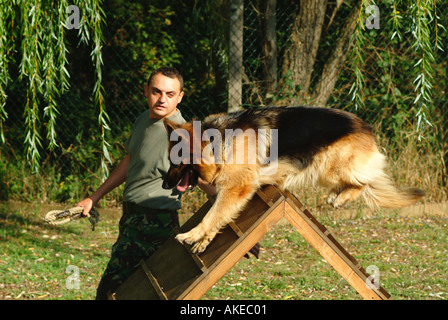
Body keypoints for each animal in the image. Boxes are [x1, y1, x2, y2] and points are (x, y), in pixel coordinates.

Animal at [162, 107, 424, 252]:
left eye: (175, 162)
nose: (164, 184)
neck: (216, 141)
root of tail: (366, 127)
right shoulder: (230, 192)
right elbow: (219, 216)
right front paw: (203, 241)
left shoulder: (237, 188)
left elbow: (211, 215)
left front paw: (191, 235)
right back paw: (337, 195)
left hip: (329, 166)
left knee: (363, 181)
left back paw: (340, 198)